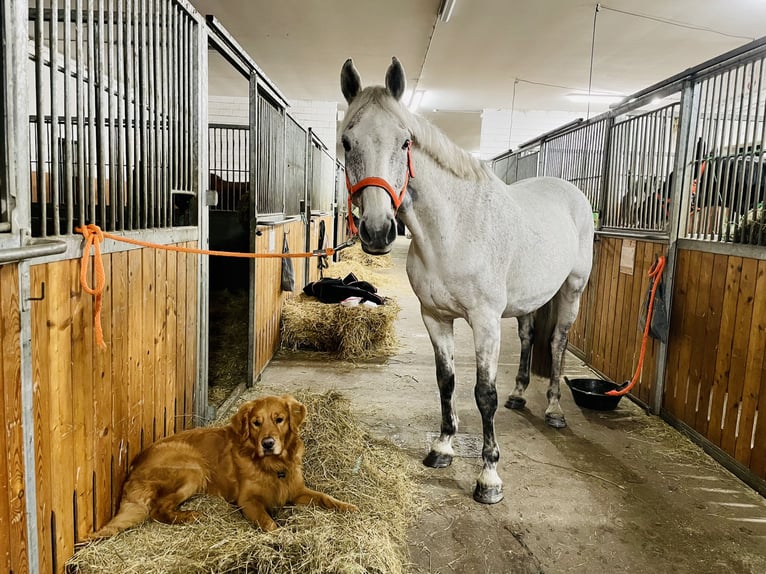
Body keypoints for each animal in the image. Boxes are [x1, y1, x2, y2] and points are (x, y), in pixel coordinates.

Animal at [92, 394, 356, 536]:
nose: (268, 443)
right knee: (157, 509)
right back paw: (189, 516)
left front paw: (347, 506)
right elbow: (268, 522)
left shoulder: (296, 490)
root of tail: (133, 466)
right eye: (256, 423)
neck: (272, 466)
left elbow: (325, 497)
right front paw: (280, 537)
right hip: (193, 469)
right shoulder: (248, 501)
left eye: (279, 419)